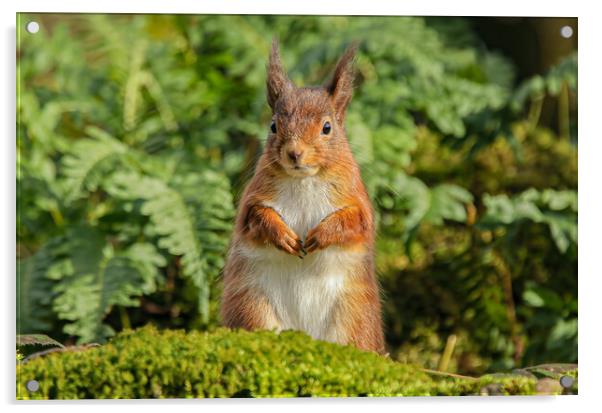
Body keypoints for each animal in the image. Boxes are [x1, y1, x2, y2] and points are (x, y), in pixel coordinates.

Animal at [220, 40, 384, 352]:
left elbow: (354, 222)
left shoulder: (356, 200)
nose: (294, 153)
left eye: (327, 127)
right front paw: (285, 237)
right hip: (252, 307)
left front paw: (321, 235)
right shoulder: (252, 200)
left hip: (353, 317)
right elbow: (256, 218)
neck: (304, 180)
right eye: (273, 125)